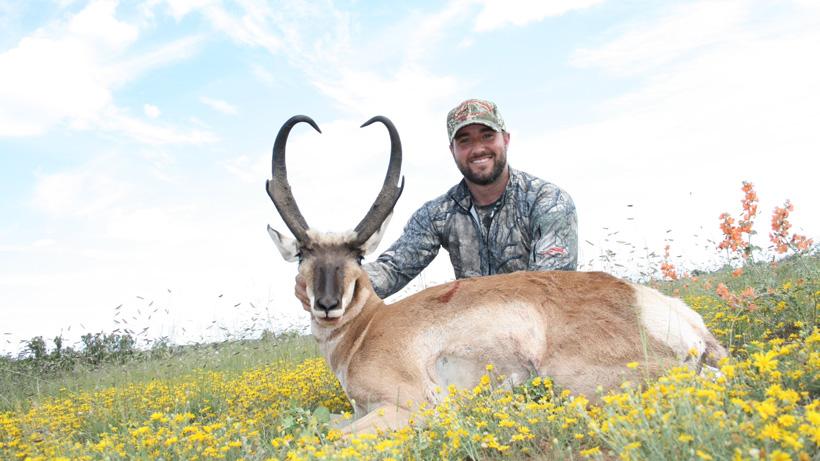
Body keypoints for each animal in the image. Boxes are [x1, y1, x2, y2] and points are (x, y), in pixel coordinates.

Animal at [265, 115, 727, 434]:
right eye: (304, 253)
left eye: (358, 255)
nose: (327, 305)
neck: (368, 327)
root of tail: (652, 304)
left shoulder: (405, 406)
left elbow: (326, 438)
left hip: (574, 379)